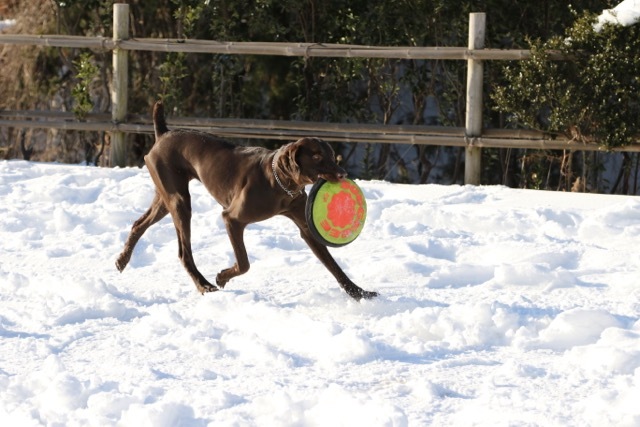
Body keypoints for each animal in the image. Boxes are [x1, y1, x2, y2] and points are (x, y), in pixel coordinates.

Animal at [116, 101, 376, 300]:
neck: (280, 184)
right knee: (183, 251)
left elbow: (334, 266)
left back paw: (122, 260)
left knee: (139, 224)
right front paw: (221, 277)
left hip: (165, 196)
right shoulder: (232, 219)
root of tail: (164, 133)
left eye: (331, 155)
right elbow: (244, 263)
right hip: (179, 200)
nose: (343, 174)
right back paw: (204, 284)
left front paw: (359, 293)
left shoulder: (306, 227)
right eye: (316, 156)